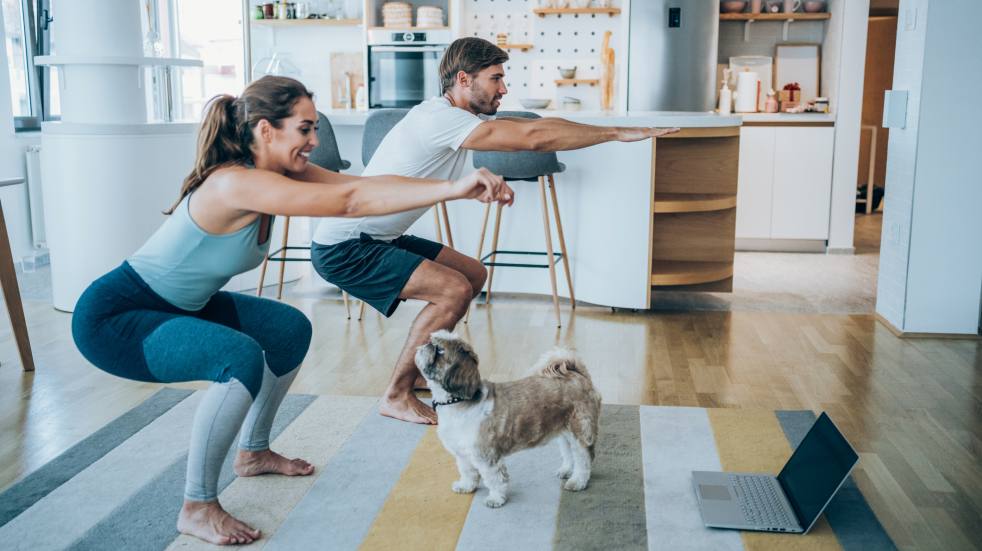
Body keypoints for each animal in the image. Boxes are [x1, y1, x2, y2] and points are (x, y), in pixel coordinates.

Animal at [414, 332, 600, 508]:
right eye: (432, 341)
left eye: (439, 350)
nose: (426, 344)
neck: (457, 402)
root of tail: (577, 374)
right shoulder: (463, 453)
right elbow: (468, 472)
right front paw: (466, 486)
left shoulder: (487, 455)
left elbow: (495, 479)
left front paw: (496, 499)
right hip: (563, 432)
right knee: (569, 452)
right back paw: (567, 470)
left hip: (580, 430)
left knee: (583, 459)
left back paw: (578, 481)